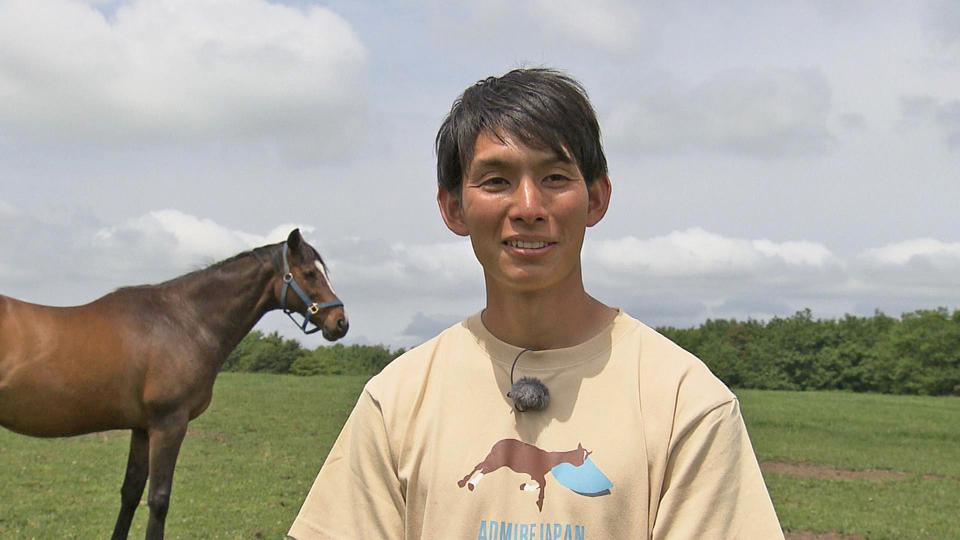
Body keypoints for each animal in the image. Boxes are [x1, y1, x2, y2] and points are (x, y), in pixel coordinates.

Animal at [0, 228, 347, 539]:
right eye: (309, 274)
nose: (340, 322)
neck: (183, 321)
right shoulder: (169, 424)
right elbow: (158, 500)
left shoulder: (142, 428)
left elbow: (130, 493)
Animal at [457, 439, 591, 511]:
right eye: (580, 455)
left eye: (586, 457)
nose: (581, 464)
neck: (549, 459)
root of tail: (498, 443)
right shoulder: (537, 473)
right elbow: (543, 484)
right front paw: (539, 503)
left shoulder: (536, 475)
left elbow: (541, 484)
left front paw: (524, 487)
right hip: (496, 461)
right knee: (483, 468)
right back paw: (470, 484)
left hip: (494, 459)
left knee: (480, 466)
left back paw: (465, 483)